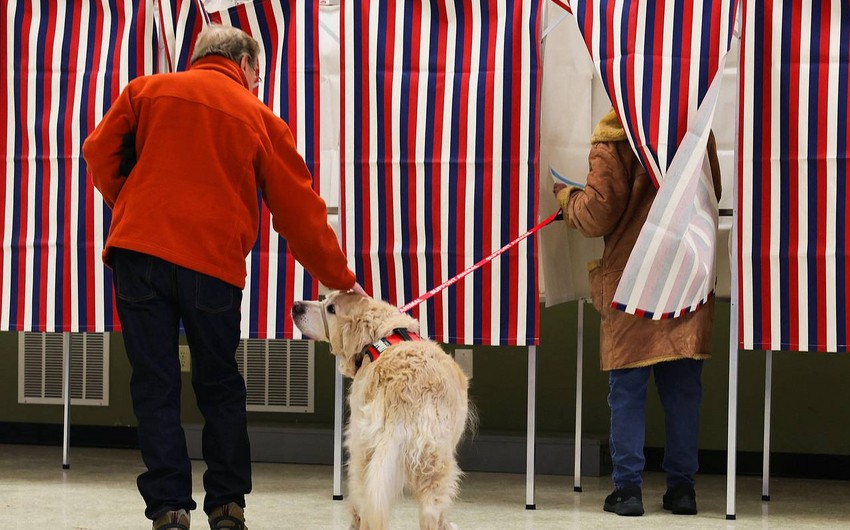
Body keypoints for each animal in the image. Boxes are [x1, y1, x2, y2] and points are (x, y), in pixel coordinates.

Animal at [290, 288, 468, 528]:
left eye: (331, 308)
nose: (296, 305)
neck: (382, 334)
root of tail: (404, 394)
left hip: (363, 450)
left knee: (366, 503)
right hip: (433, 460)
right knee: (431, 512)